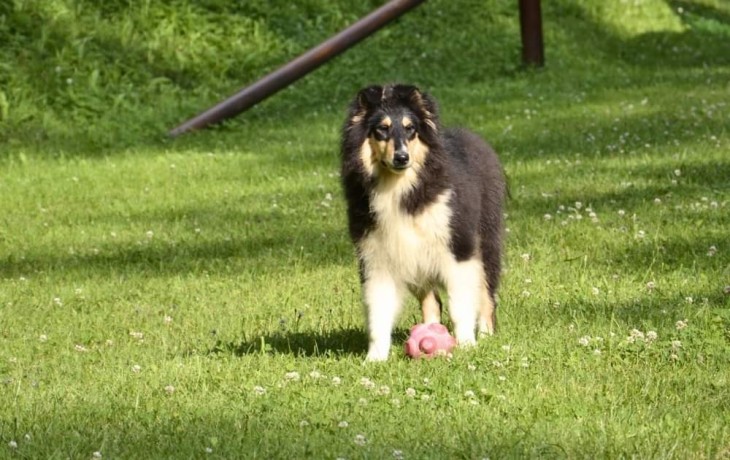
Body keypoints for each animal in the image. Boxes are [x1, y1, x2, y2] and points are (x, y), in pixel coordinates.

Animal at [338, 84, 504, 362]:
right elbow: (378, 312)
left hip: (486, 242)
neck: (400, 189)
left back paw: (486, 333)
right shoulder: (376, 257)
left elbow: (460, 303)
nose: (402, 157)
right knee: (432, 301)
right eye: (381, 129)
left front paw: (467, 345)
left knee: (486, 293)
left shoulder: (457, 248)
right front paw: (374, 359)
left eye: (410, 129)